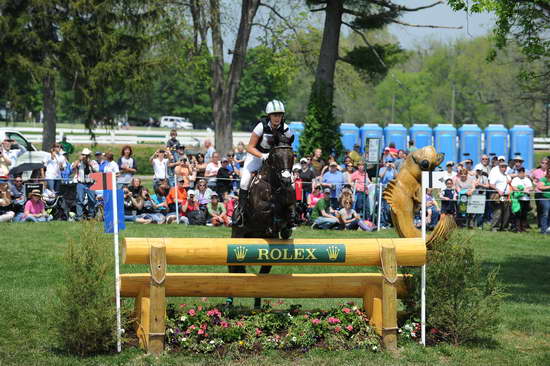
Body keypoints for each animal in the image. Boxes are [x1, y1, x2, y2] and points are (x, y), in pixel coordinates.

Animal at [229, 130, 298, 308]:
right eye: (275, 156)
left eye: (292, 155)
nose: (286, 180)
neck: (274, 185)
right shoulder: (259, 211)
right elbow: (270, 210)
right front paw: (275, 222)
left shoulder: (290, 202)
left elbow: (291, 213)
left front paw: (286, 228)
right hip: (237, 237)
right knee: (232, 270)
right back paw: (228, 304)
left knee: (262, 278)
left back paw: (257, 306)